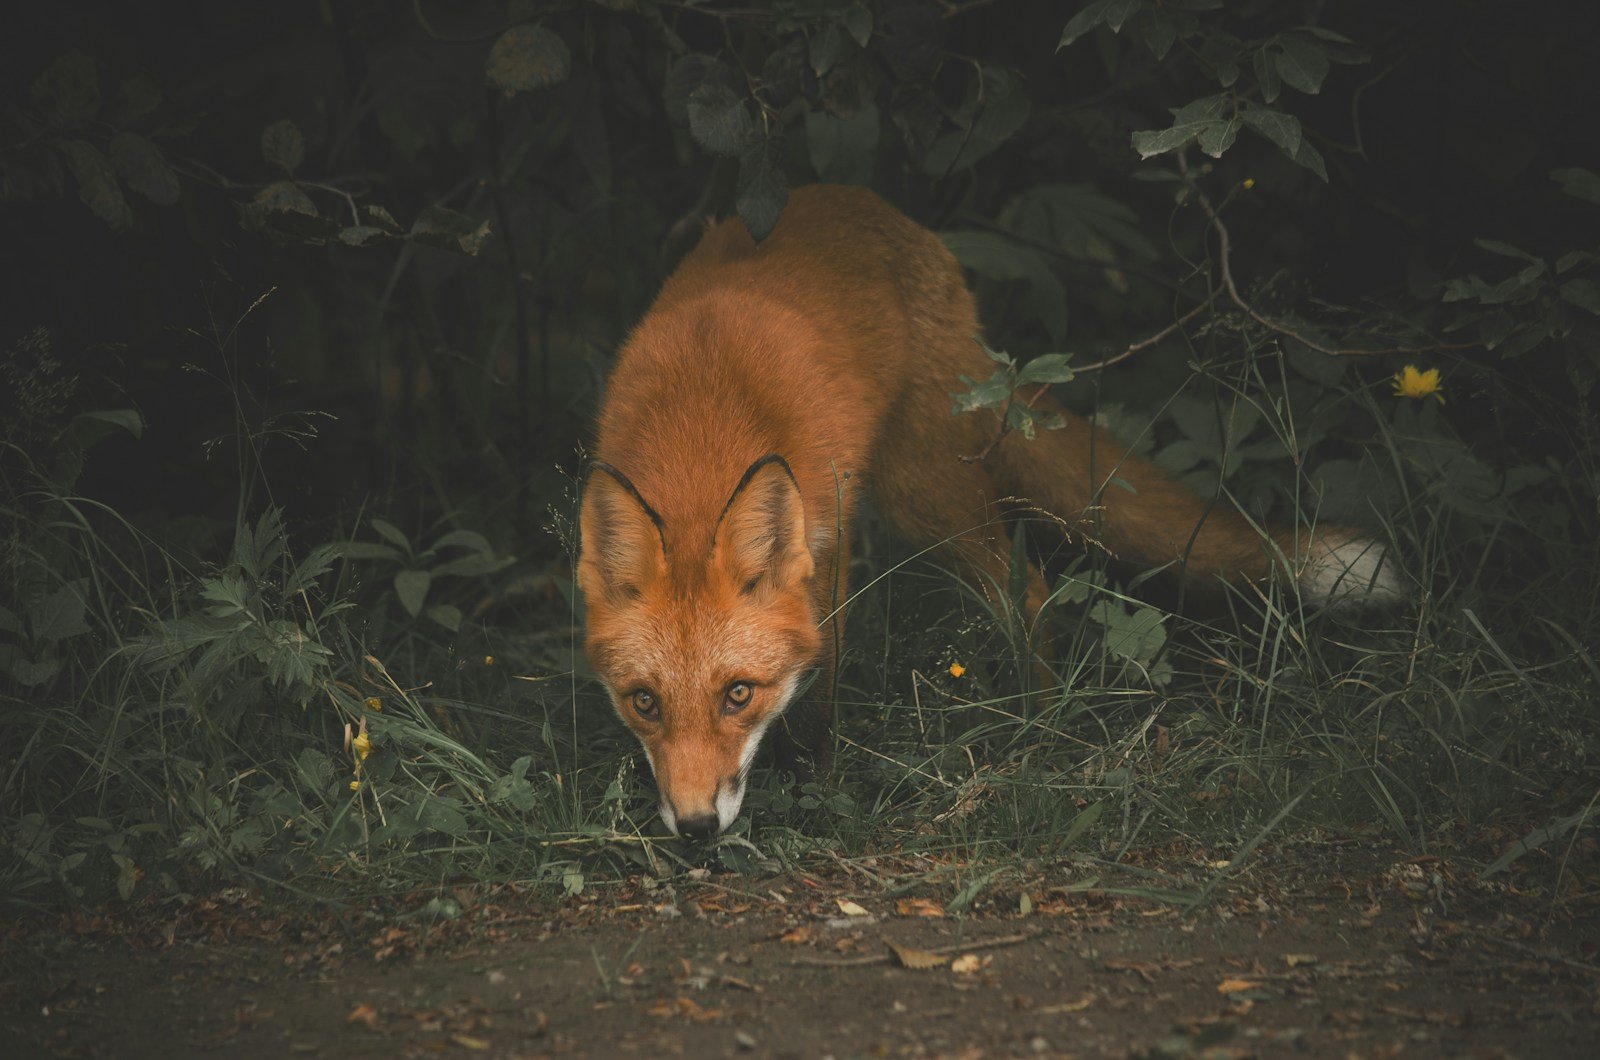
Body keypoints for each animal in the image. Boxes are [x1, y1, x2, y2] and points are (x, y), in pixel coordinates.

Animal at [577, 184, 1403, 840]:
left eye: (738, 695)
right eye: (645, 703)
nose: (695, 828)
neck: (703, 425)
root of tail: (858, 199)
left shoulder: (828, 551)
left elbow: (816, 698)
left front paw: (816, 795)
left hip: (921, 494)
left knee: (1027, 590)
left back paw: (1038, 734)